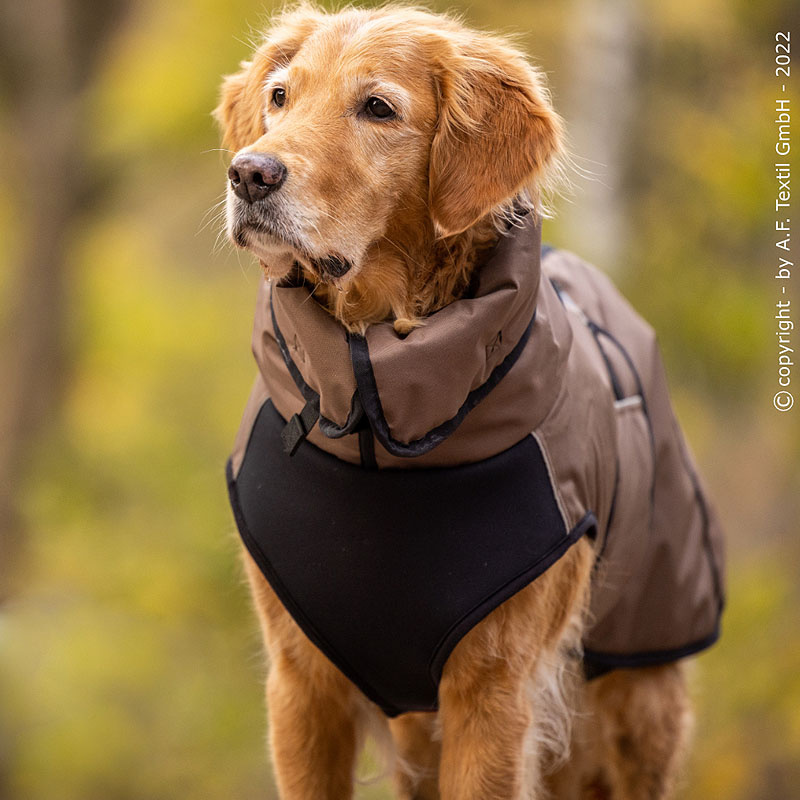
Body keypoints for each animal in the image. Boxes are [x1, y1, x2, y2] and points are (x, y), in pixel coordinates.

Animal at [214, 3, 724, 796]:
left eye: (378, 108)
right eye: (279, 97)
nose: (248, 173)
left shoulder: (494, 693)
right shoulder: (301, 687)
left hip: (642, 698)